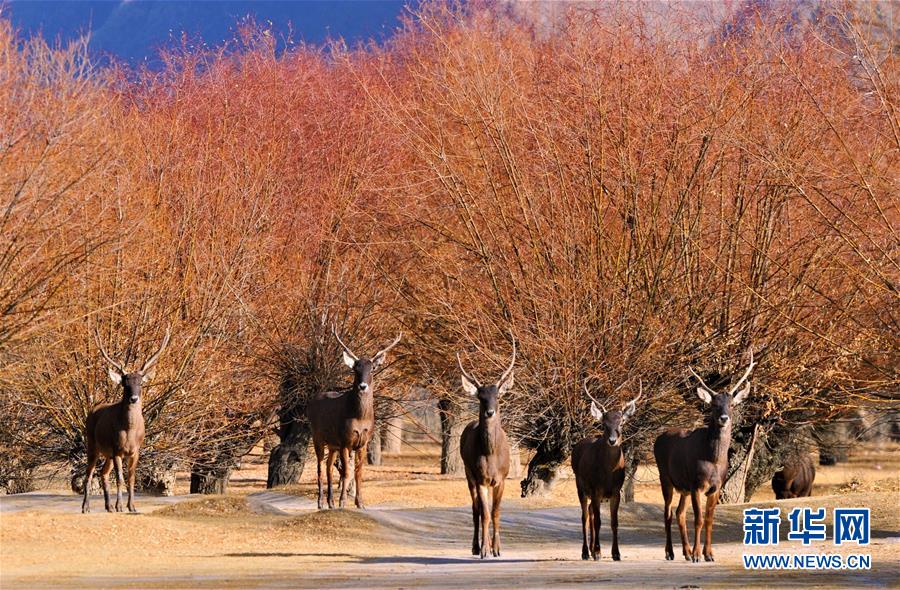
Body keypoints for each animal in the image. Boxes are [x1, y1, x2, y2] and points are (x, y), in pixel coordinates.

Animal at [84, 326, 171, 516]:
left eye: (141, 383)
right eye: (125, 383)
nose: (134, 398)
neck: (129, 431)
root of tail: (91, 411)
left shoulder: (136, 450)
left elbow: (131, 478)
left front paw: (132, 506)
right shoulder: (117, 449)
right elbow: (120, 479)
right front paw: (120, 506)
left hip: (107, 453)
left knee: (103, 473)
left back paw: (108, 507)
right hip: (92, 444)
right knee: (89, 474)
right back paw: (86, 507)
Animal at [308, 326, 402, 512]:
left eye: (372, 369)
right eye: (355, 369)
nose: (363, 386)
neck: (359, 418)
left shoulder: (363, 442)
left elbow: (358, 472)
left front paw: (360, 503)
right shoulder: (345, 441)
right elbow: (346, 472)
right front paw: (343, 502)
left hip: (333, 444)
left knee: (329, 467)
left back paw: (330, 502)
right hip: (317, 437)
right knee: (320, 467)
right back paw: (321, 503)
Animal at [572, 384, 644, 564]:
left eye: (622, 422)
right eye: (604, 424)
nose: (612, 440)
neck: (608, 474)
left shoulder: (616, 492)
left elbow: (614, 522)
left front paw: (616, 554)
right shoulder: (596, 489)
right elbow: (598, 521)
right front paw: (598, 552)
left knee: (590, 511)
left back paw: (591, 550)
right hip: (580, 487)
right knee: (585, 516)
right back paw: (586, 552)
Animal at [652, 352, 752, 564]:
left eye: (732, 405)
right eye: (714, 405)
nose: (724, 418)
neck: (713, 460)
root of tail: (658, 438)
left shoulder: (716, 487)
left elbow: (708, 520)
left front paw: (709, 554)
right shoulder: (697, 484)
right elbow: (698, 519)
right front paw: (699, 555)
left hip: (684, 487)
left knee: (680, 513)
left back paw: (686, 552)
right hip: (665, 478)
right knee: (668, 513)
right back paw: (670, 552)